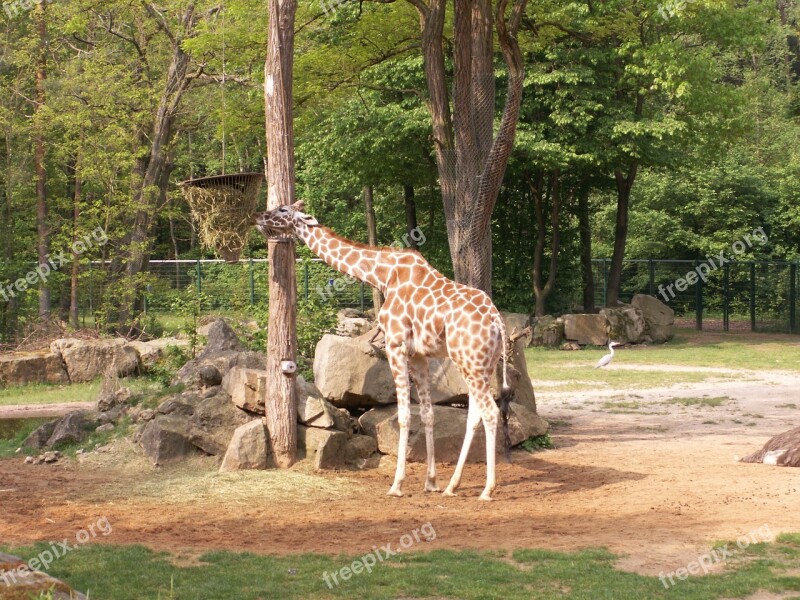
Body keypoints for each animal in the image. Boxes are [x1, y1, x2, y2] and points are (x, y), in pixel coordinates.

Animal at [260, 203, 516, 502]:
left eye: (282, 209)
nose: (259, 217)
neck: (382, 275)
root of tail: (497, 322)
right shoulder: (419, 355)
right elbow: (428, 414)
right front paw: (431, 482)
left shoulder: (395, 345)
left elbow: (404, 415)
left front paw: (397, 484)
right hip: (482, 364)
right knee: (475, 414)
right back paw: (452, 485)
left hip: (469, 361)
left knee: (490, 412)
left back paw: (487, 489)